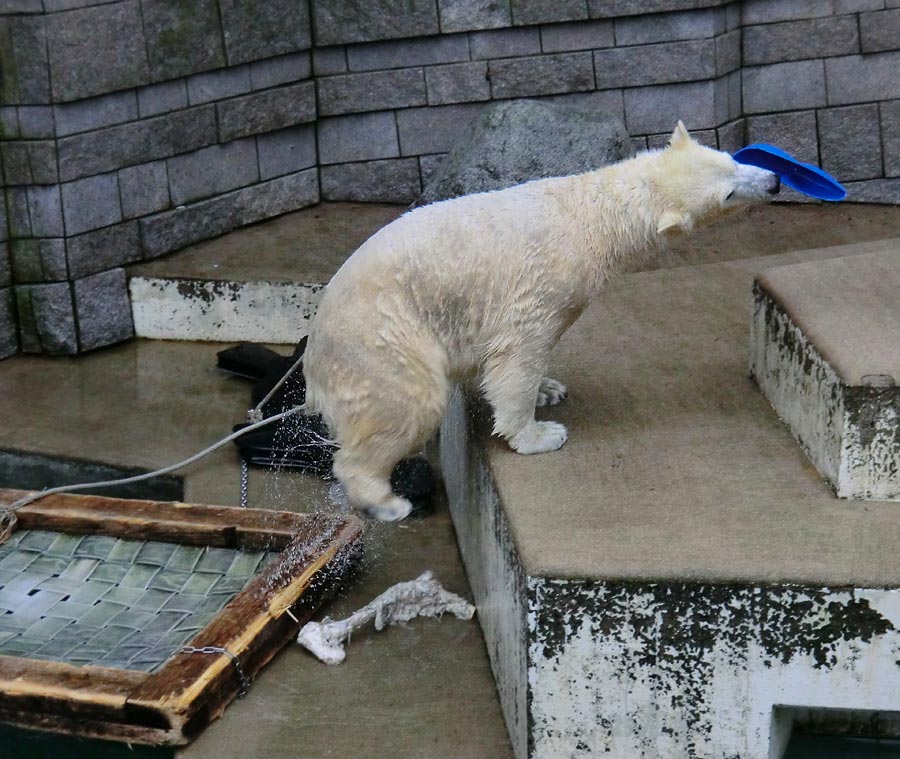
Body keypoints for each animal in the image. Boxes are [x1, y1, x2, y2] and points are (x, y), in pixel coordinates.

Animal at [304, 121, 780, 524]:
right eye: (728, 195)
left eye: (731, 159)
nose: (775, 181)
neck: (592, 216)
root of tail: (314, 357)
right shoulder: (539, 285)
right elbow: (518, 355)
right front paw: (540, 434)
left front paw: (549, 390)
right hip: (383, 341)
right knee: (408, 404)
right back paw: (387, 502)